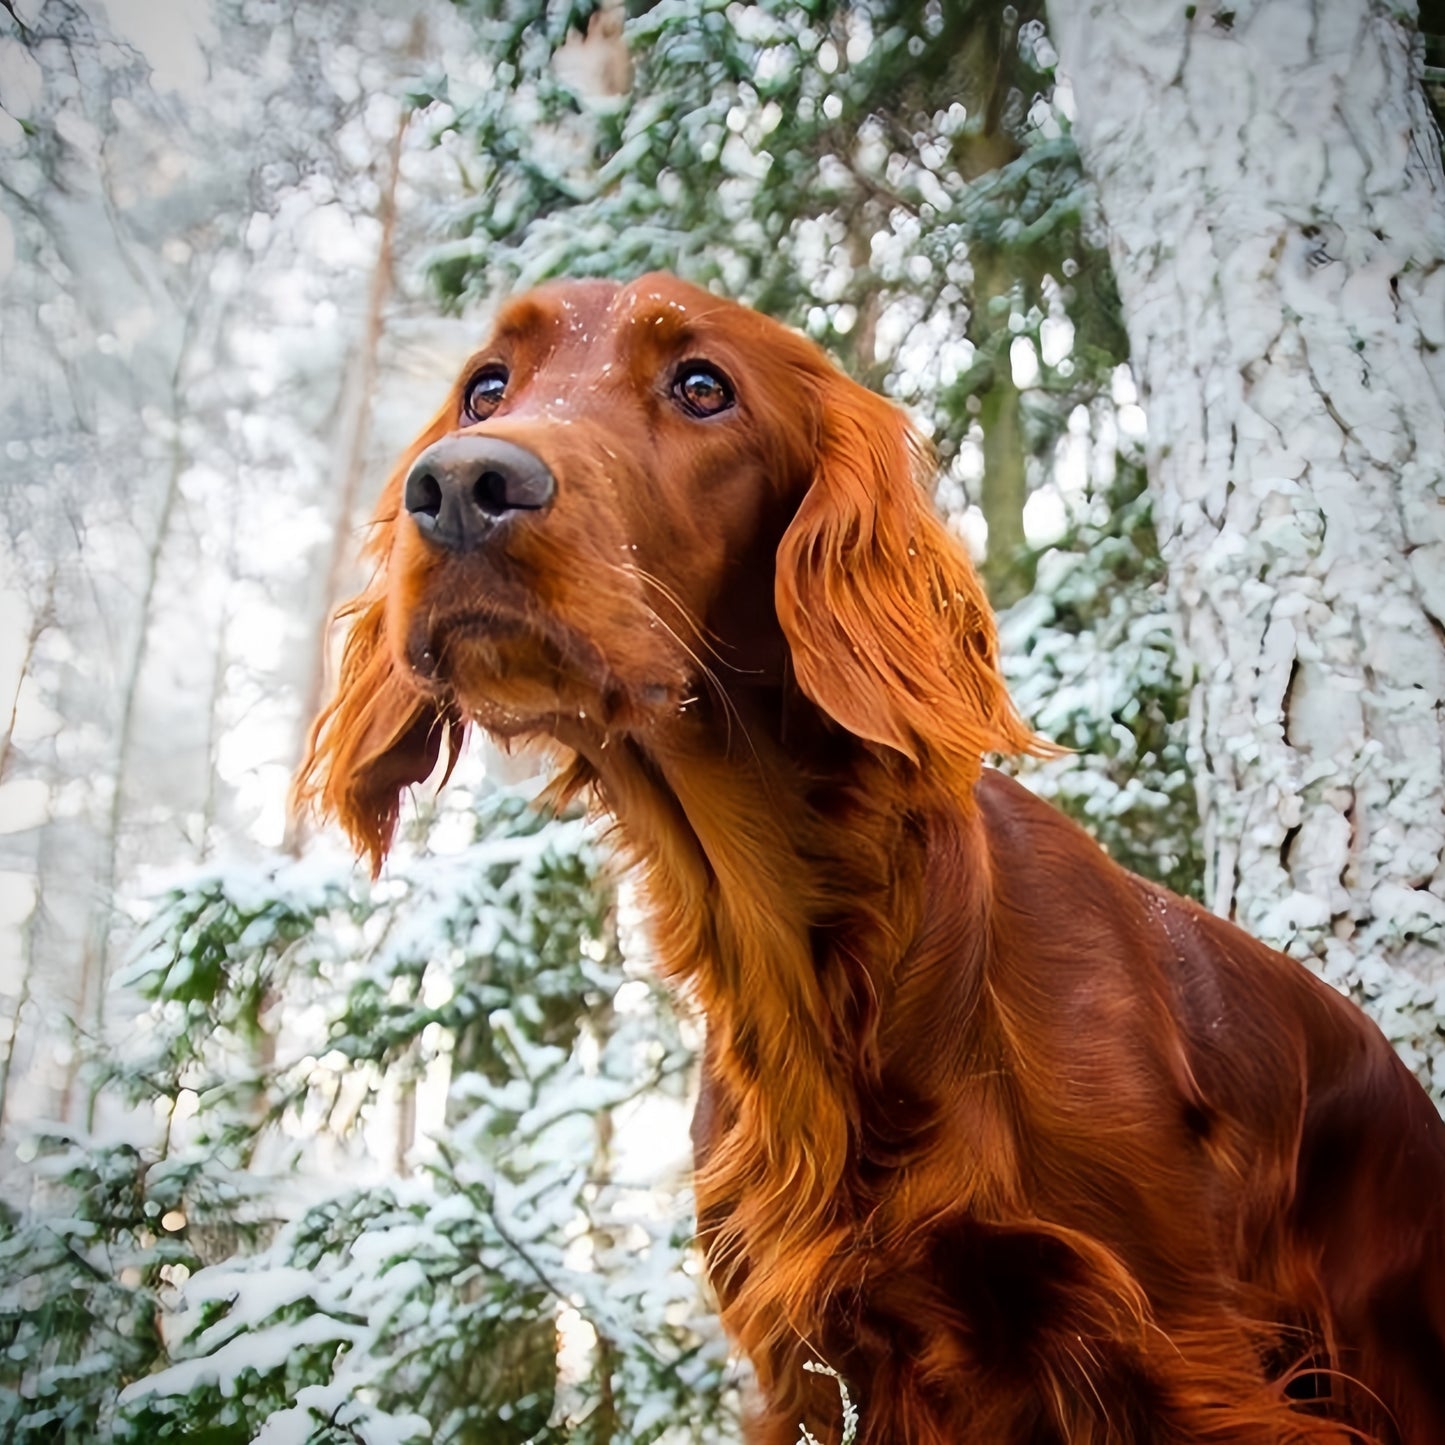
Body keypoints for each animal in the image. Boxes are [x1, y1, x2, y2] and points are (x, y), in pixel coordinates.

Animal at [296, 273, 1445, 1445]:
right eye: (486, 388)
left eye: (702, 385)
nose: (460, 485)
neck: (812, 944)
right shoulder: (814, 1370)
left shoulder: (1184, 1352)